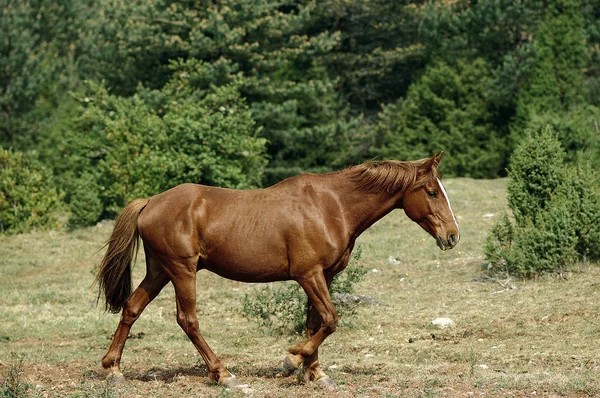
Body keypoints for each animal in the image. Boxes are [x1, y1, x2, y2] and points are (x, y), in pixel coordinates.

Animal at [96, 152, 460, 388]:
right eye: (431, 192)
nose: (452, 236)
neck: (333, 206)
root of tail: (150, 202)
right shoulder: (308, 274)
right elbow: (330, 320)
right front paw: (293, 360)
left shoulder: (324, 275)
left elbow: (315, 321)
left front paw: (315, 374)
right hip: (182, 271)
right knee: (188, 320)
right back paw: (223, 374)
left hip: (159, 271)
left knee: (131, 308)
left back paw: (114, 370)